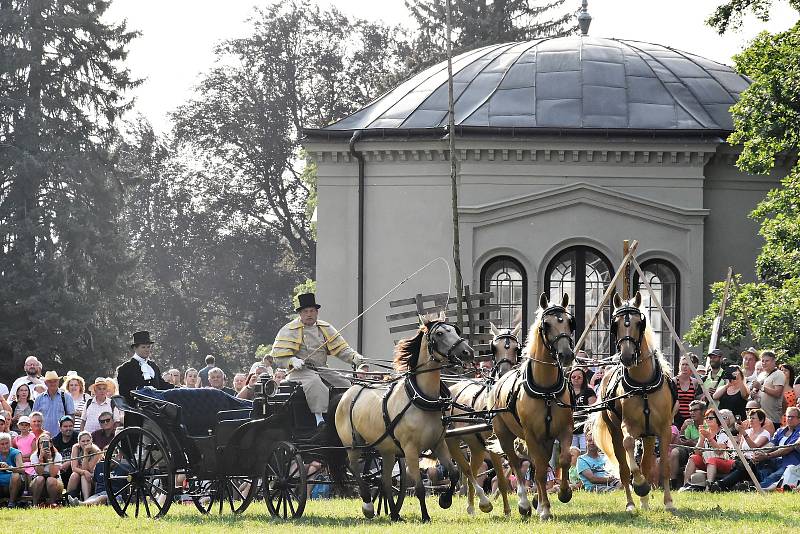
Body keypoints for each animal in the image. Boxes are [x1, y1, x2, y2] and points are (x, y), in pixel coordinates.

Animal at [332, 314, 472, 524]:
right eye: (440, 333)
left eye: (456, 330)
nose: (467, 352)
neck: (422, 398)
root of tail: (349, 391)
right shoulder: (411, 450)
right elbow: (420, 487)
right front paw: (425, 516)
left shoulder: (438, 444)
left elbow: (454, 474)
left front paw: (445, 500)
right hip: (353, 444)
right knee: (355, 469)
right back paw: (367, 504)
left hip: (387, 450)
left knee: (385, 479)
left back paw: (394, 513)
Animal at [444, 324, 520, 516]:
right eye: (494, 348)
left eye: (516, 348)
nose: (504, 373)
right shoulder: (493, 447)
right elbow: (501, 478)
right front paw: (506, 510)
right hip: (453, 442)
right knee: (465, 470)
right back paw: (478, 503)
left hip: (476, 447)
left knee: (472, 469)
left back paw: (473, 505)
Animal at [488, 296, 576, 520]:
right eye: (547, 325)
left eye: (569, 322)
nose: (566, 354)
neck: (546, 390)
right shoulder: (531, 435)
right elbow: (539, 470)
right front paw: (544, 508)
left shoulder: (564, 430)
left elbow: (562, 460)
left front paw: (563, 493)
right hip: (505, 435)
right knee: (516, 464)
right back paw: (525, 504)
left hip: (544, 440)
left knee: (537, 465)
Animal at [592, 294, 676, 516]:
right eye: (615, 324)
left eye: (639, 323)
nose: (627, 356)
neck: (643, 384)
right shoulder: (627, 426)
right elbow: (629, 448)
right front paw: (640, 484)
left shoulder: (664, 429)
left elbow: (664, 466)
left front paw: (668, 502)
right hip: (615, 430)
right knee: (623, 467)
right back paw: (632, 502)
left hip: (648, 435)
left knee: (646, 463)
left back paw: (645, 502)